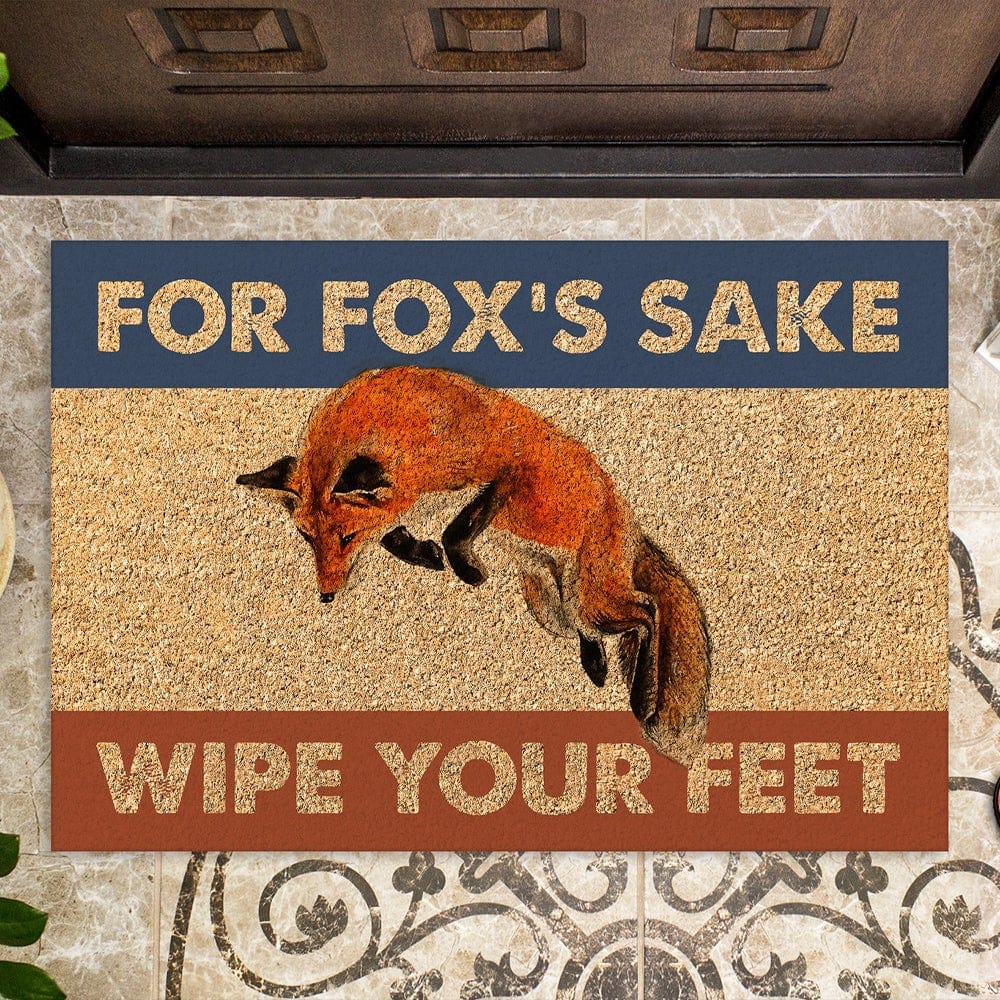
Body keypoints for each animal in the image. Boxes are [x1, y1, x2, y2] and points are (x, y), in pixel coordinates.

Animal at [237, 366, 710, 762]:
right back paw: (596, 667)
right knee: (595, 630)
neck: (419, 422)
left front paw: (464, 567)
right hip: (552, 608)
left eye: (346, 538)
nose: (326, 595)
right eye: (307, 538)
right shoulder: (413, 499)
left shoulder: (505, 472)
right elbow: (396, 532)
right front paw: (425, 555)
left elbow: (455, 529)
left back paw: (642, 696)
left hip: (592, 598)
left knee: (647, 611)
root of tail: (629, 520)